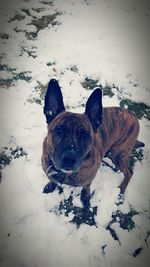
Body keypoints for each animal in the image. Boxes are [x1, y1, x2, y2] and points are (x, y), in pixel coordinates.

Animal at [41, 79, 144, 207]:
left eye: (85, 134)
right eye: (59, 130)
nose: (69, 158)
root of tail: (133, 114)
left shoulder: (89, 179)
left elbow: (86, 187)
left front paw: (85, 198)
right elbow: (52, 180)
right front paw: (50, 187)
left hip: (119, 154)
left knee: (129, 172)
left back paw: (121, 189)